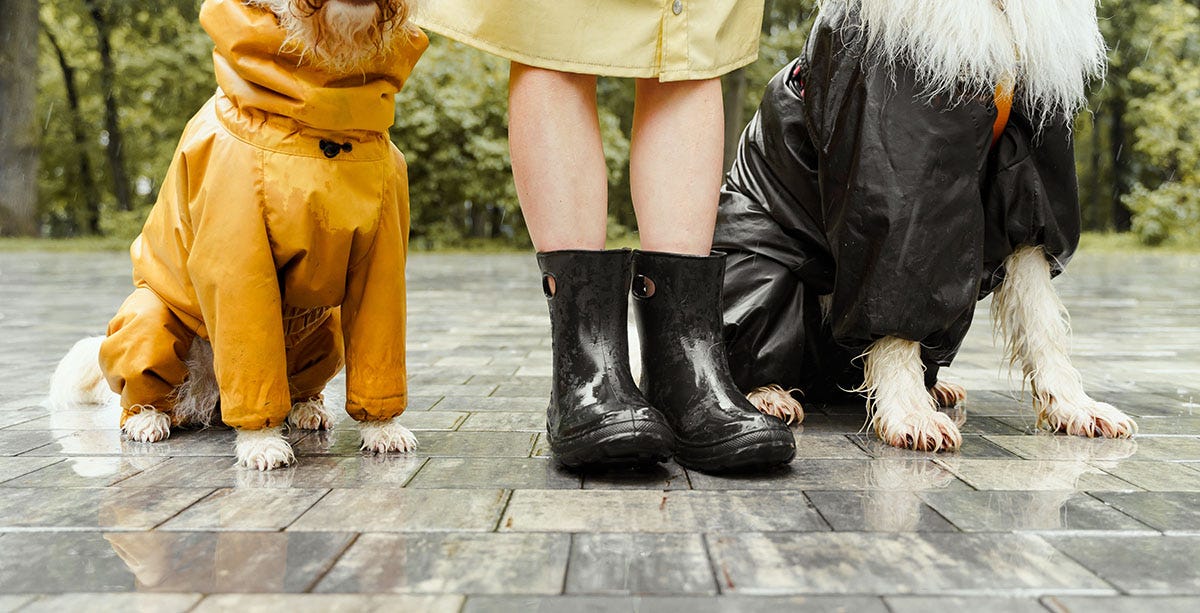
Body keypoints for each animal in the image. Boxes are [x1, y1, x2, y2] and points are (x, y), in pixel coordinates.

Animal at [50, 0, 427, 470]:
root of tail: (210, 400)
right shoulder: (239, 257)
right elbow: (252, 361)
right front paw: (261, 442)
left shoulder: (382, 261)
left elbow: (379, 354)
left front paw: (383, 429)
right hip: (148, 315)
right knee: (148, 392)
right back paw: (148, 418)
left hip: (325, 330)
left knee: (298, 386)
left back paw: (307, 408)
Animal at [715, 0, 1137, 451]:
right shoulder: (898, 166)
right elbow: (896, 293)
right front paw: (910, 414)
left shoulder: (1032, 166)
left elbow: (1041, 317)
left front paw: (1075, 406)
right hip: (761, 266)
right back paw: (768, 395)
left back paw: (936, 387)